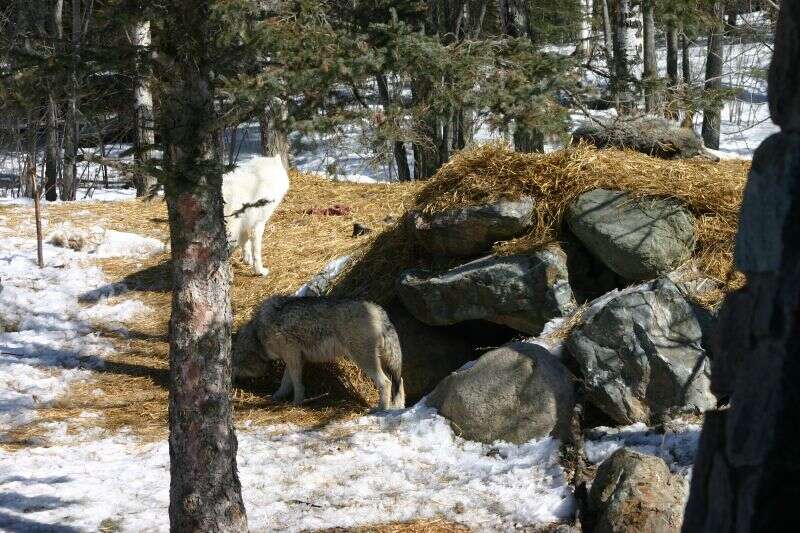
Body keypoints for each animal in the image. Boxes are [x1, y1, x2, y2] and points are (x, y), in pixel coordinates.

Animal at [231, 296, 406, 408]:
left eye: (231, 365)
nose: (231, 384)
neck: (257, 335)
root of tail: (378, 310)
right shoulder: (293, 358)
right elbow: (286, 383)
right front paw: (276, 397)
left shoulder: (292, 354)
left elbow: (297, 384)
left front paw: (297, 403)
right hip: (381, 361)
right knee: (400, 382)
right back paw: (397, 408)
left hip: (364, 360)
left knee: (386, 383)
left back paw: (380, 410)